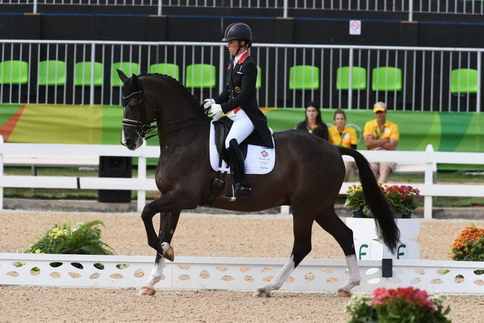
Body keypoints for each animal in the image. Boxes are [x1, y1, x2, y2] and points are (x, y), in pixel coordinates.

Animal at [118, 71, 400, 298]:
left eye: (134, 103)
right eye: (122, 103)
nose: (128, 142)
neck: (184, 137)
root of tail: (333, 148)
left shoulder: (185, 196)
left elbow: (146, 213)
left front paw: (168, 253)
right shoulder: (171, 197)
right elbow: (163, 232)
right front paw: (151, 281)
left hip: (305, 207)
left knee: (302, 245)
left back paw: (267, 287)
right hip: (321, 208)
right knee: (345, 235)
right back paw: (347, 285)